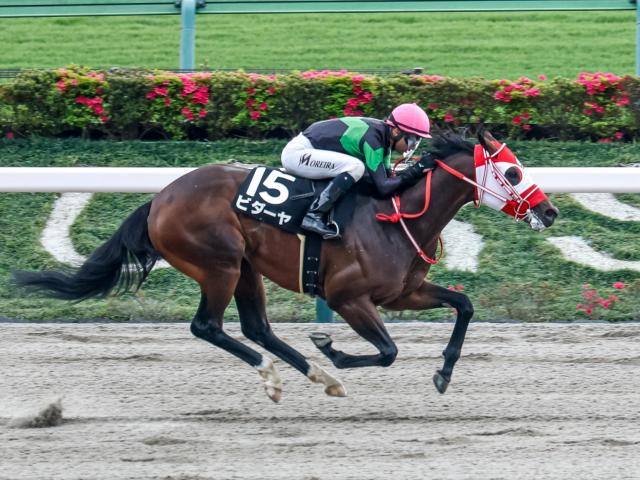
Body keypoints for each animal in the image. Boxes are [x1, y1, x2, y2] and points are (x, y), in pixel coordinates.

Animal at [14, 130, 558, 402]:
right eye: (513, 172)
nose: (550, 211)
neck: (397, 216)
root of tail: (159, 200)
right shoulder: (347, 297)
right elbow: (387, 352)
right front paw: (333, 349)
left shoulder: (402, 293)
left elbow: (463, 305)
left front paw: (443, 372)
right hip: (219, 263)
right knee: (207, 326)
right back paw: (283, 376)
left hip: (245, 267)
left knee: (257, 326)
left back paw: (315, 376)